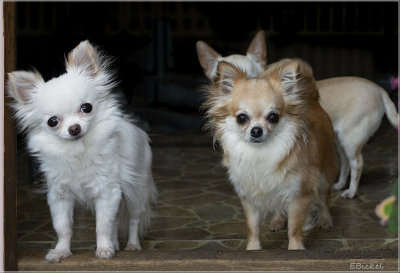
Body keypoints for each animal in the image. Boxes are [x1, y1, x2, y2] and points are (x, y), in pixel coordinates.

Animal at [7, 40, 158, 262]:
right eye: (53, 122)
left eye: (86, 108)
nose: (74, 128)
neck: (78, 150)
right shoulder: (59, 196)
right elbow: (63, 227)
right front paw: (61, 251)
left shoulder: (107, 191)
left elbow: (102, 225)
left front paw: (103, 249)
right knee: (115, 222)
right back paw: (114, 244)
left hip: (136, 191)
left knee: (133, 219)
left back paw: (132, 245)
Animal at [196, 30, 396, 199]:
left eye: (254, 76)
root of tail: (380, 90)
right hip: (340, 140)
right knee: (346, 162)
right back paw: (339, 185)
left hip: (351, 139)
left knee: (357, 164)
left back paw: (351, 192)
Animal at [202, 58, 336, 250]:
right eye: (241, 118)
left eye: (273, 117)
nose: (256, 130)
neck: (260, 153)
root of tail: (312, 99)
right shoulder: (249, 196)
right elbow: (253, 227)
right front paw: (253, 249)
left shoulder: (299, 195)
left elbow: (294, 228)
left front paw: (295, 249)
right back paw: (277, 221)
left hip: (326, 173)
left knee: (324, 198)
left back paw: (325, 220)